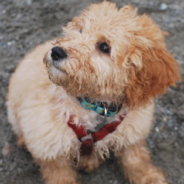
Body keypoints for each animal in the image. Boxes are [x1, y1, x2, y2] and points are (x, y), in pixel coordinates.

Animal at [6, 1, 180, 184]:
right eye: (80, 30)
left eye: (104, 47)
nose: (56, 51)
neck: (95, 105)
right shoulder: (49, 146)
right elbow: (59, 174)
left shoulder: (132, 132)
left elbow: (136, 158)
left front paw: (149, 176)